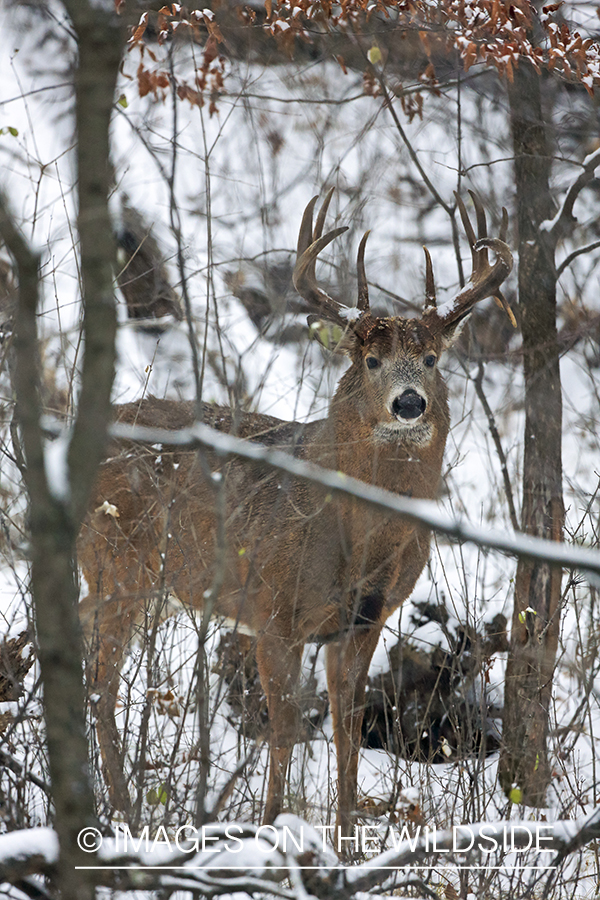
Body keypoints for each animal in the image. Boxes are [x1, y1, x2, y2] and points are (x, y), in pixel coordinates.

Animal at [77, 188, 512, 836]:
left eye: (433, 358)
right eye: (372, 361)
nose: (410, 403)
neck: (357, 542)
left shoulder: (364, 621)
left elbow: (347, 732)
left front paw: (348, 841)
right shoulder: (272, 608)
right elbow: (283, 732)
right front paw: (271, 829)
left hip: (144, 584)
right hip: (116, 566)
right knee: (100, 689)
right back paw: (120, 816)